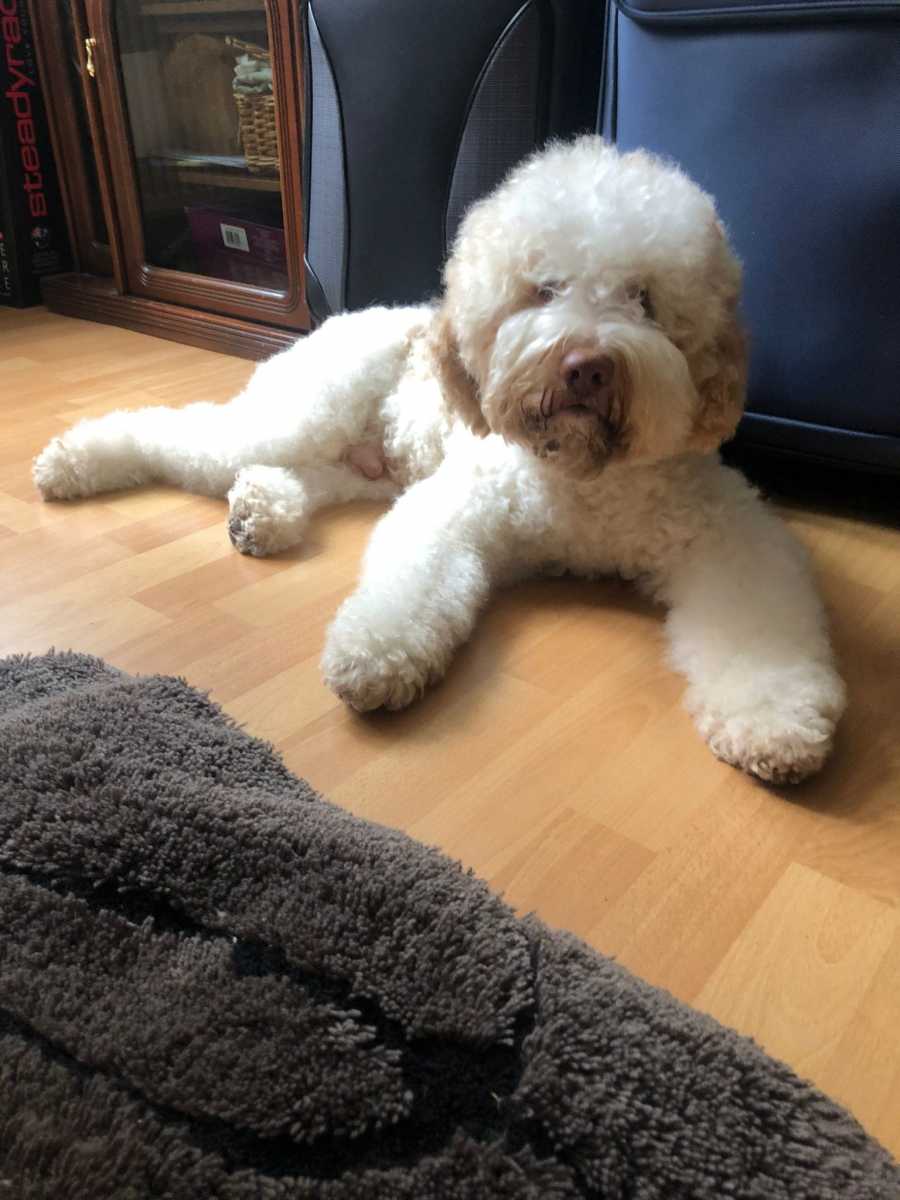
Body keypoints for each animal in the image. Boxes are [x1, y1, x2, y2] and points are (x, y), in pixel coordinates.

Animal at [33, 136, 845, 783]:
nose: (585, 367)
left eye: (644, 299)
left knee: (298, 478)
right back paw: (74, 459)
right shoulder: (453, 510)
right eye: (542, 289)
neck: (579, 481)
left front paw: (774, 719)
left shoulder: (730, 539)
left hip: (366, 469)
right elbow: (411, 589)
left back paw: (261, 510)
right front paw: (376, 654)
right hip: (294, 416)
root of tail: (342, 317)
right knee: (173, 431)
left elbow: (758, 630)